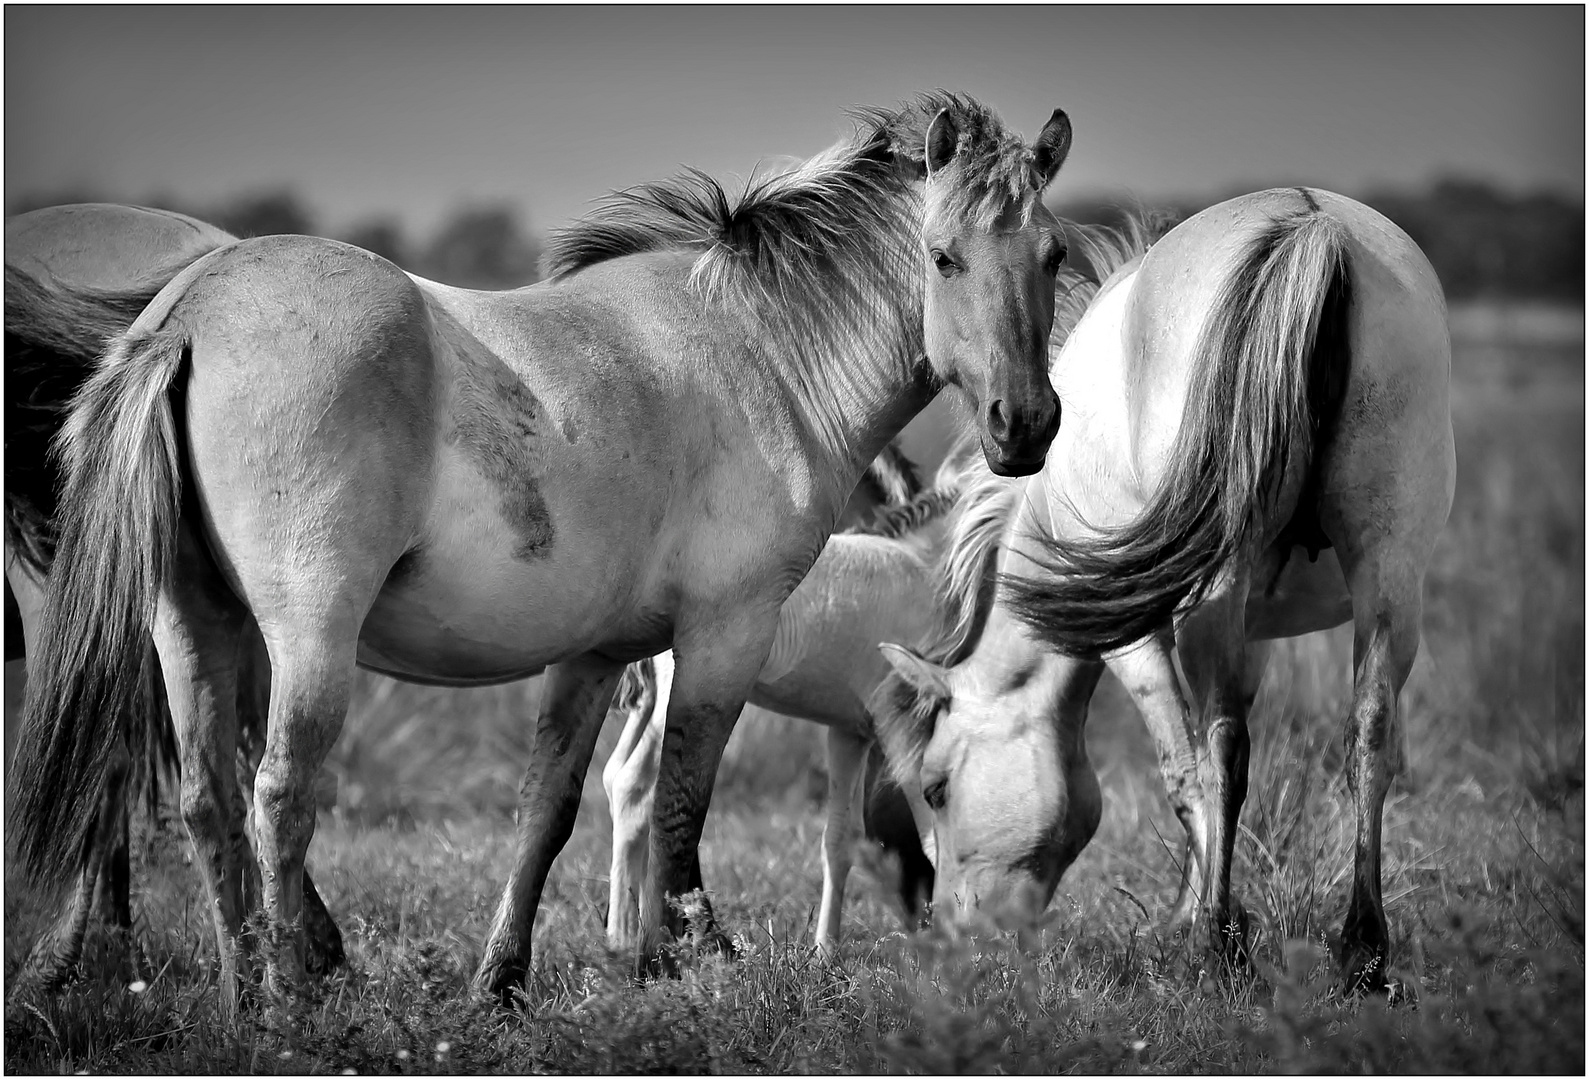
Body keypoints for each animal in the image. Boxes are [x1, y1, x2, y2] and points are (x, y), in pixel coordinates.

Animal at [600, 451, 1010, 959]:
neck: (923, 569)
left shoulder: (850, 732)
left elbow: (840, 839)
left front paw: (825, 951)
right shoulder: (899, 717)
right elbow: (933, 834)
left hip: (651, 702)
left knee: (615, 777)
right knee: (634, 787)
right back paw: (622, 937)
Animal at [877, 189, 1455, 991]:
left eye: (936, 789)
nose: (954, 938)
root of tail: (1310, 222)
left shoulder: (1135, 638)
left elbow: (1184, 770)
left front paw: (1200, 922)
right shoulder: (1255, 628)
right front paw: (1199, 904)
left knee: (1223, 750)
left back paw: (1218, 947)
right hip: (1387, 570)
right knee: (1369, 735)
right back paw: (1362, 953)